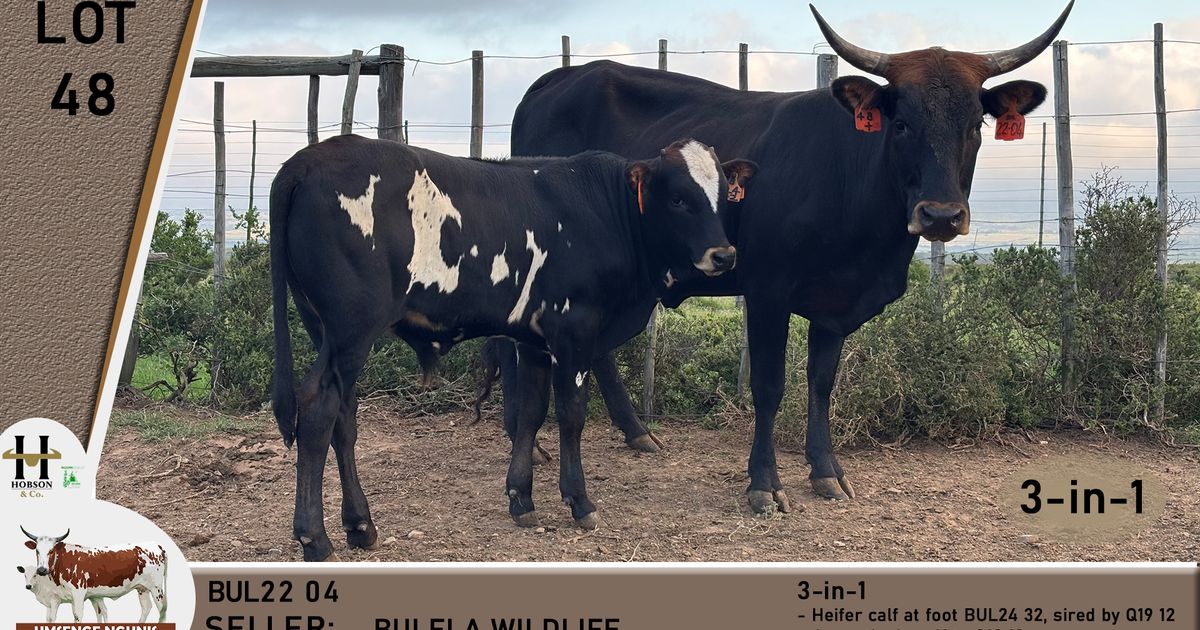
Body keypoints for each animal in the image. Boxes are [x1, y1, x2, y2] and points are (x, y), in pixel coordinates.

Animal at [20, 527, 168, 622]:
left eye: (51, 551)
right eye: (37, 551)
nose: (41, 570)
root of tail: (156, 545)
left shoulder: (78, 593)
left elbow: (78, 616)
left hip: (156, 588)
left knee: (162, 610)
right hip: (142, 588)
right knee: (146, 608)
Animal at [270, 134, 753, 560]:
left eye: (722, 197)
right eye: (677, 199)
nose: (724, 255)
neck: (608, 213)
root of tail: (306, 160)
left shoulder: (533, 341)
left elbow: (531, 412)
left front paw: (521, 498)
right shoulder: (574, 330)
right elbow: (571, 415)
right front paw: (580, 501)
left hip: (326, 332)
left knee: (344, 417)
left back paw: (360, 525)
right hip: (351, 330)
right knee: (318, 408)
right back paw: (315, 538)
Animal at [494, 2, 1074, 517]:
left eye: (976, 123)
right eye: (902, 123)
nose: (941, 215)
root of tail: (558, 78)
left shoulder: (835, 304)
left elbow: (821, 384)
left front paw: (826, 471)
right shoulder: (768, 293)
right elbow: (769, 386)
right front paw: (764, 484)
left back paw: (637, 432)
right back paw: (528, 440)